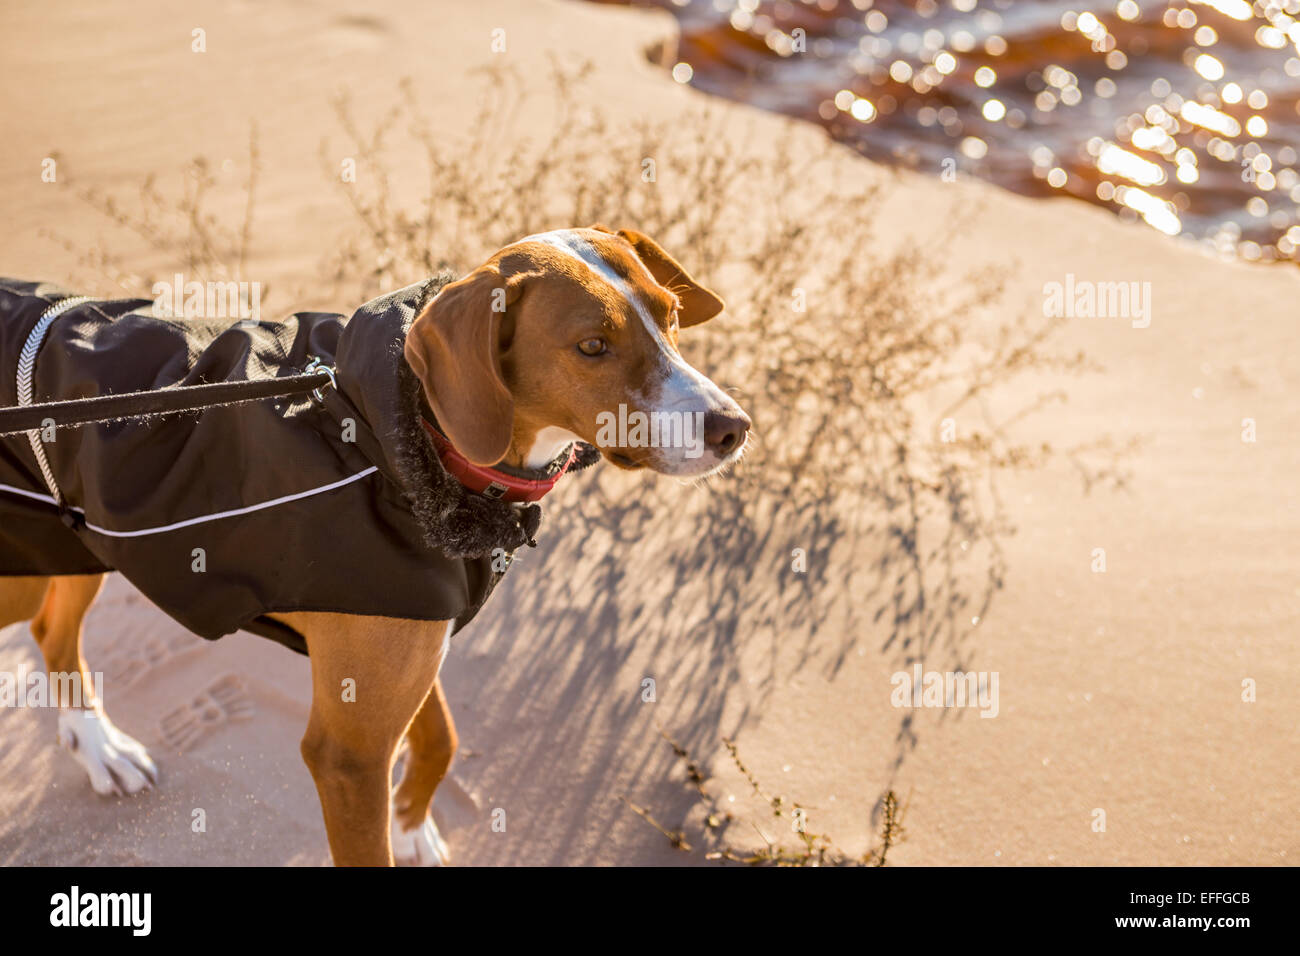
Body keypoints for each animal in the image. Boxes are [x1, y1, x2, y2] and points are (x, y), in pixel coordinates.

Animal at [0, 226, 754, 868]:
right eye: (592, 346)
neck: (399, 431)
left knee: (53, 629)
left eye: (670, 316)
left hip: (77, 544)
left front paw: (414, 824)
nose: (733, 427)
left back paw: (99, 748)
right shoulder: (347, 756)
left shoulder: (416, 627)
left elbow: (442, 738)